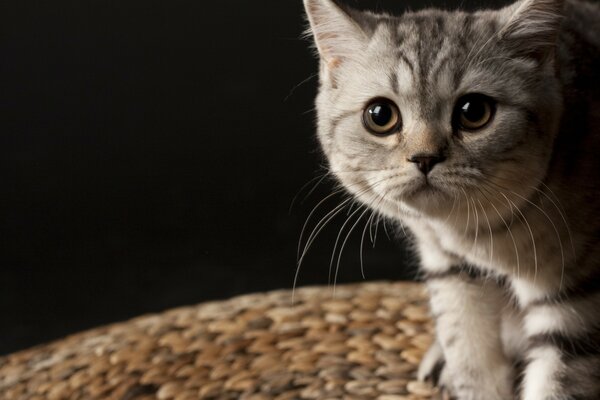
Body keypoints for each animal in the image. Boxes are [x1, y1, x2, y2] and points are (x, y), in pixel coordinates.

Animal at [304, 0, 600, 398]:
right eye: (380, 115)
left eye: (473, 112)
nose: (425, 157)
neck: (479, 236)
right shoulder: (453, 274)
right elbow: (471, 362)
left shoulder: (576, 302)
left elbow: (555, 383)